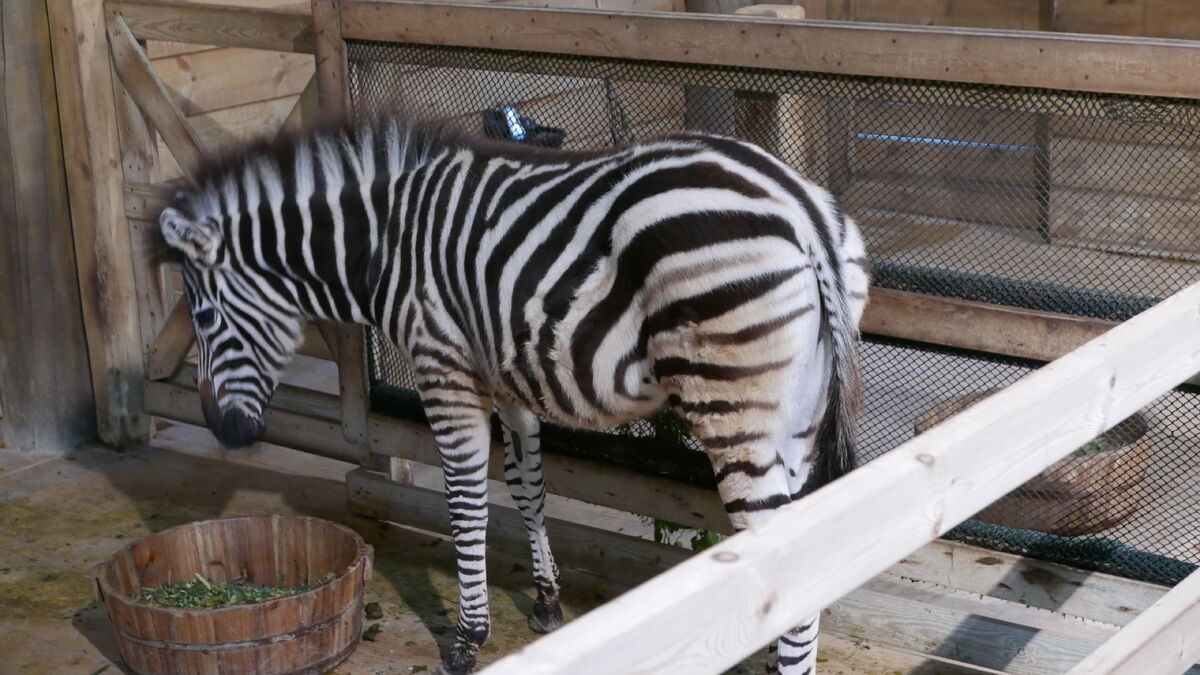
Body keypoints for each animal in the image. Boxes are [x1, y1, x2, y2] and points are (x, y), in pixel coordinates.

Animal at [158, 116, 870, 675]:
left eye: (203, 316)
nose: (222, 430)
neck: (385, 246)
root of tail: (799, 208)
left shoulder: (443, 368)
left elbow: (467, 500)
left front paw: (467, 639)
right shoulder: (508, 379)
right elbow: (529, 488)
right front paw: (547, 602)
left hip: (730, 403)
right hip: (796, 418)